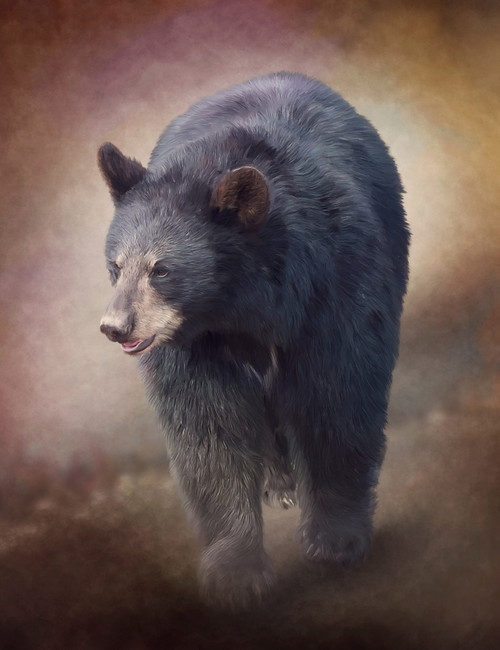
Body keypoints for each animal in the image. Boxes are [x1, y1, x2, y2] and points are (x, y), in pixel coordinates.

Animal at [98, 72, 410, 608]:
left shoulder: (336, 285)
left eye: (162, 269)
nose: (115, 326)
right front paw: (236, 572)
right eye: (116, 265)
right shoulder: (195, 343)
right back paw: (279, 483)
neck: (244, 303)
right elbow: (209, 426)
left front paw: (335, 539)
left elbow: (338, 398)